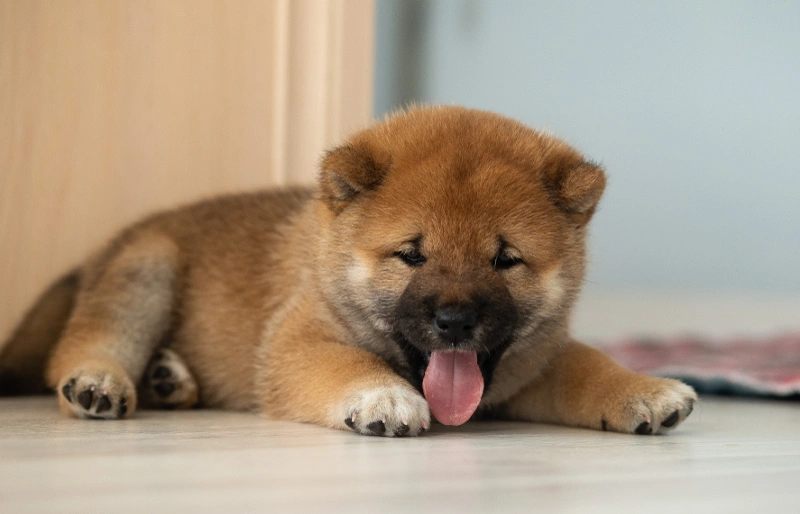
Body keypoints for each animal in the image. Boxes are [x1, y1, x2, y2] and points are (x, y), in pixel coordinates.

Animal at [0, 106, 692, 434]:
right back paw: (102, 381)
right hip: (147, 269)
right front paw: (382, 396)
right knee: (83, 347)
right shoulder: (298, 341)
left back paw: (172, 382)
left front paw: (642, 388)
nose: (456, 321)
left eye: (505, 259)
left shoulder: (534, 366)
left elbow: (588, 366)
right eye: (412, 254)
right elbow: (346, 364)